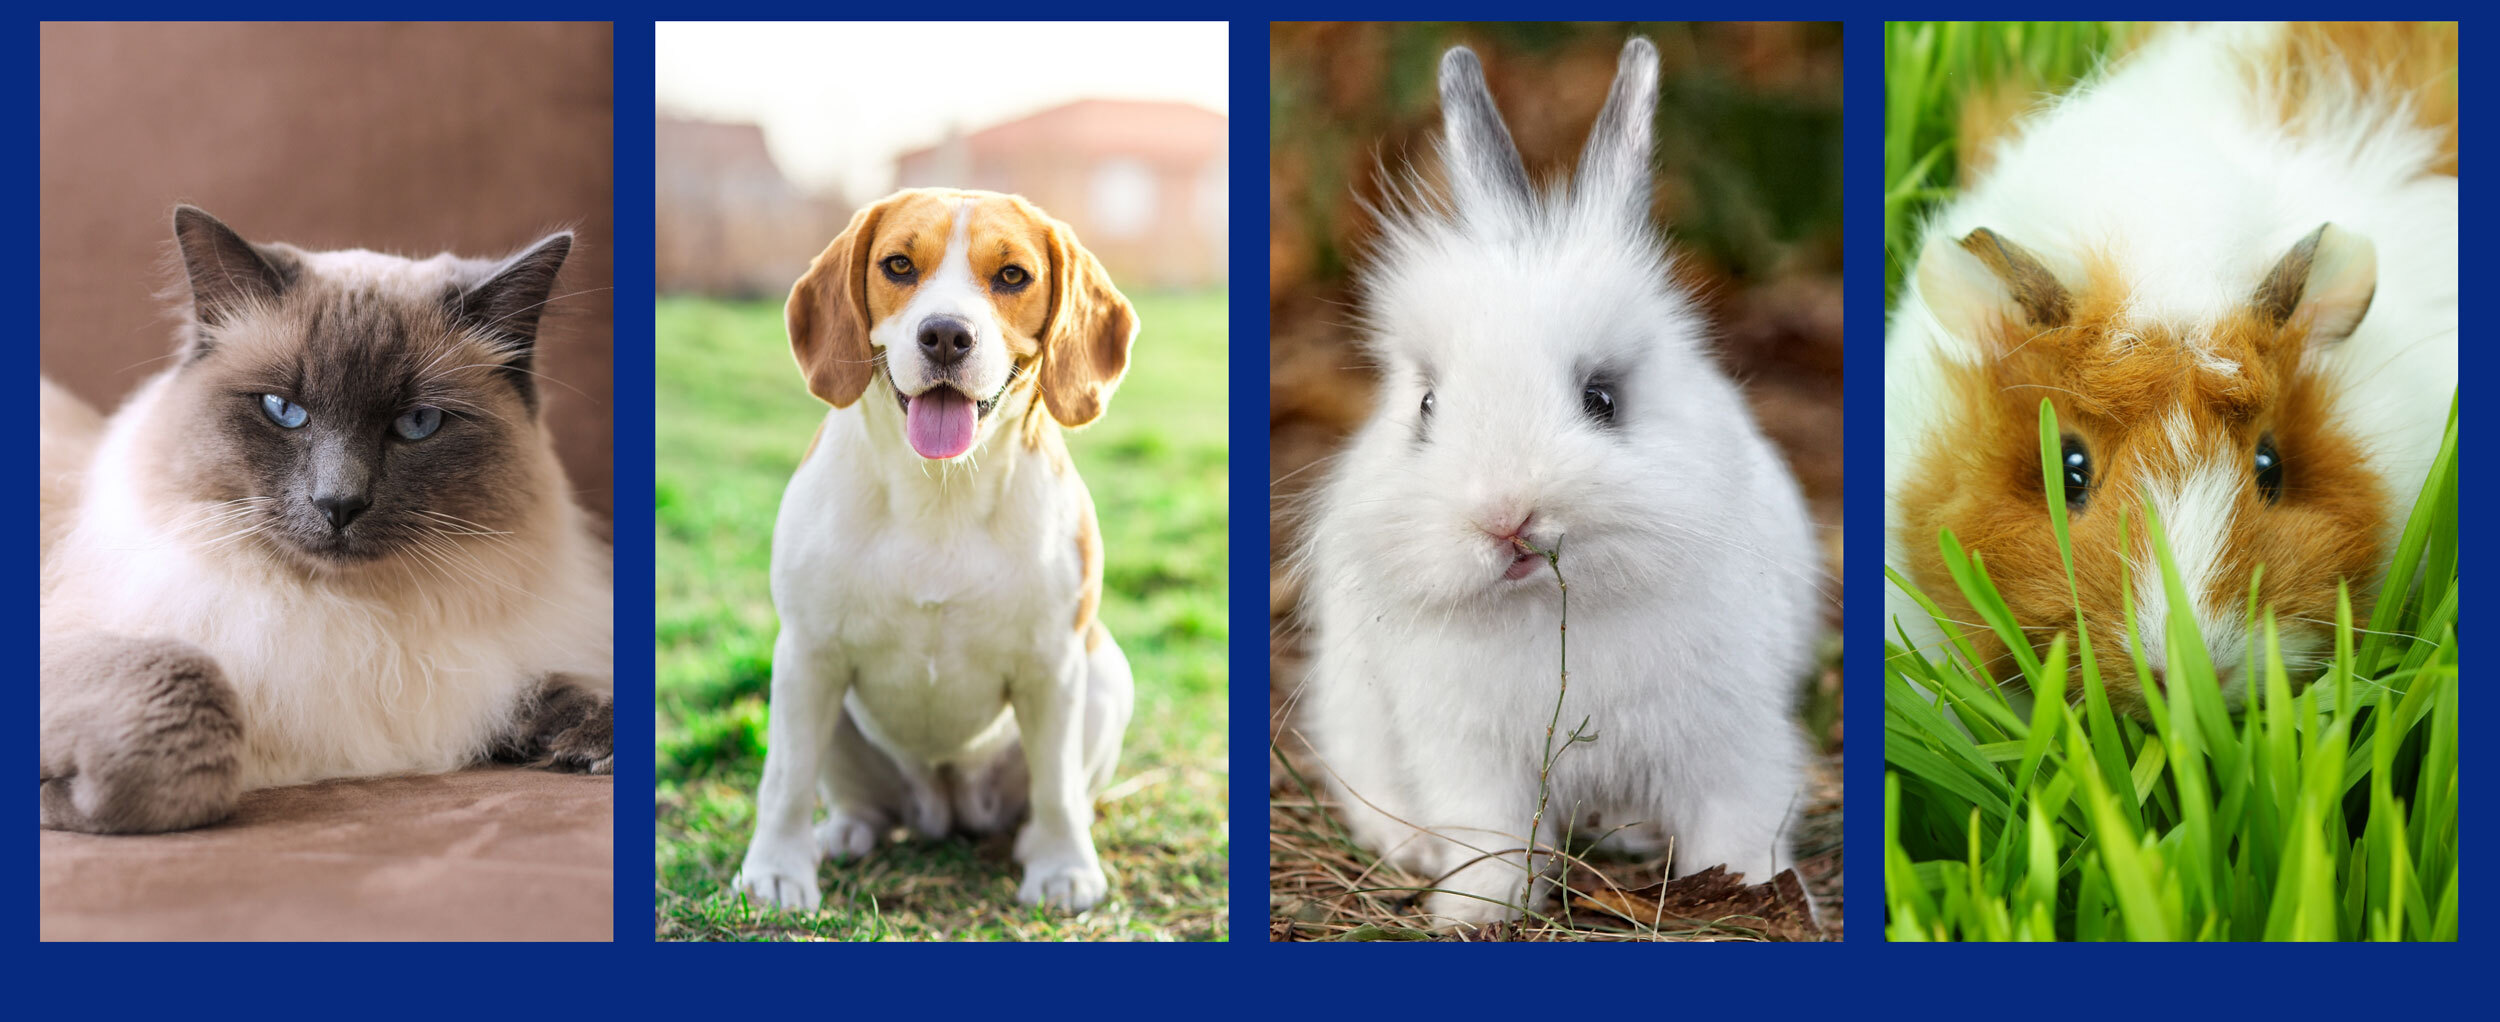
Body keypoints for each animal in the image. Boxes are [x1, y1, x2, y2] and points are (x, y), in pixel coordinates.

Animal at [40, 204, 615, 829]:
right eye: (284, 411)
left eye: (417, 423)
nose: (339, 503)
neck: (349, 619)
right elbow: (197, 709)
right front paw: (60, 801)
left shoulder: (471, 684)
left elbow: (560, 690)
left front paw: (594, 747)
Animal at [730, 184, 1145, 909]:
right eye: (899, 265)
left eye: (1013, 276)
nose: (947, 334)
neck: (940, 490)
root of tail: (945, 808)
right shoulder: (807, 654)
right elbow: (784, 779)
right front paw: (777, 870)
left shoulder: (1054, 666)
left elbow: (1059, 787)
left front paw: (1063, 867)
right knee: (856, 802)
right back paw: (843, 833)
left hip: (1102, 676)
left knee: (1052, 795)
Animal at [1290, 37, 1820, 924]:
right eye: (1426, 406)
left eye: (1601, 399)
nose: (1505, 516)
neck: (1548, 608)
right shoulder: (1470, 760)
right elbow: (1492, 842)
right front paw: (1476, 913)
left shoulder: (1732, 742)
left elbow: (1735, 824)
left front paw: (1752, 889)